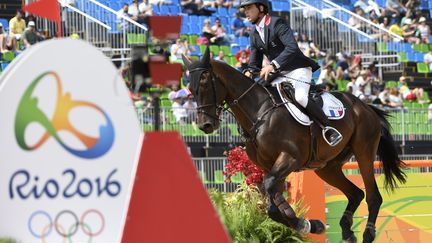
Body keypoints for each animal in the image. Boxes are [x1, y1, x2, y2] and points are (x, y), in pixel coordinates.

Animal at [181, 48, 404, 243]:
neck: (259, 113)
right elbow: (271, 202)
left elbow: (271, 191)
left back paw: (367, 234)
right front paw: (309, 224)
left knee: (373, 196)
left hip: (363, 151)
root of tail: (365, 106)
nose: (205, 125)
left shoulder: (290, 158)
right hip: (327, 168)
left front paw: (303, 222)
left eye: (204, 85)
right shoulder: (268, 166)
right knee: (356, 193)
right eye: (190, 90)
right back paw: (347, 231)